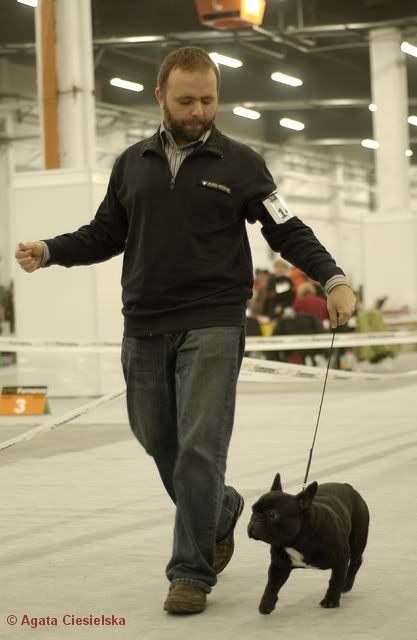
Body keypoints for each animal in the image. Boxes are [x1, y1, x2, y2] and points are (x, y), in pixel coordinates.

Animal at [248, 473, 369, 614]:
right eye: (252, 510)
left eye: (272, 514)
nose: (255, 518)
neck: (298, 541)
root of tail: (348, 486)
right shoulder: (279, 566)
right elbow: (272, 584)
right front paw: (266, 604)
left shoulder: (340, 559)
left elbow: (335, 580)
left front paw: (331, 600)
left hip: (357, 540)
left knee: (355, 561)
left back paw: (347, 584)